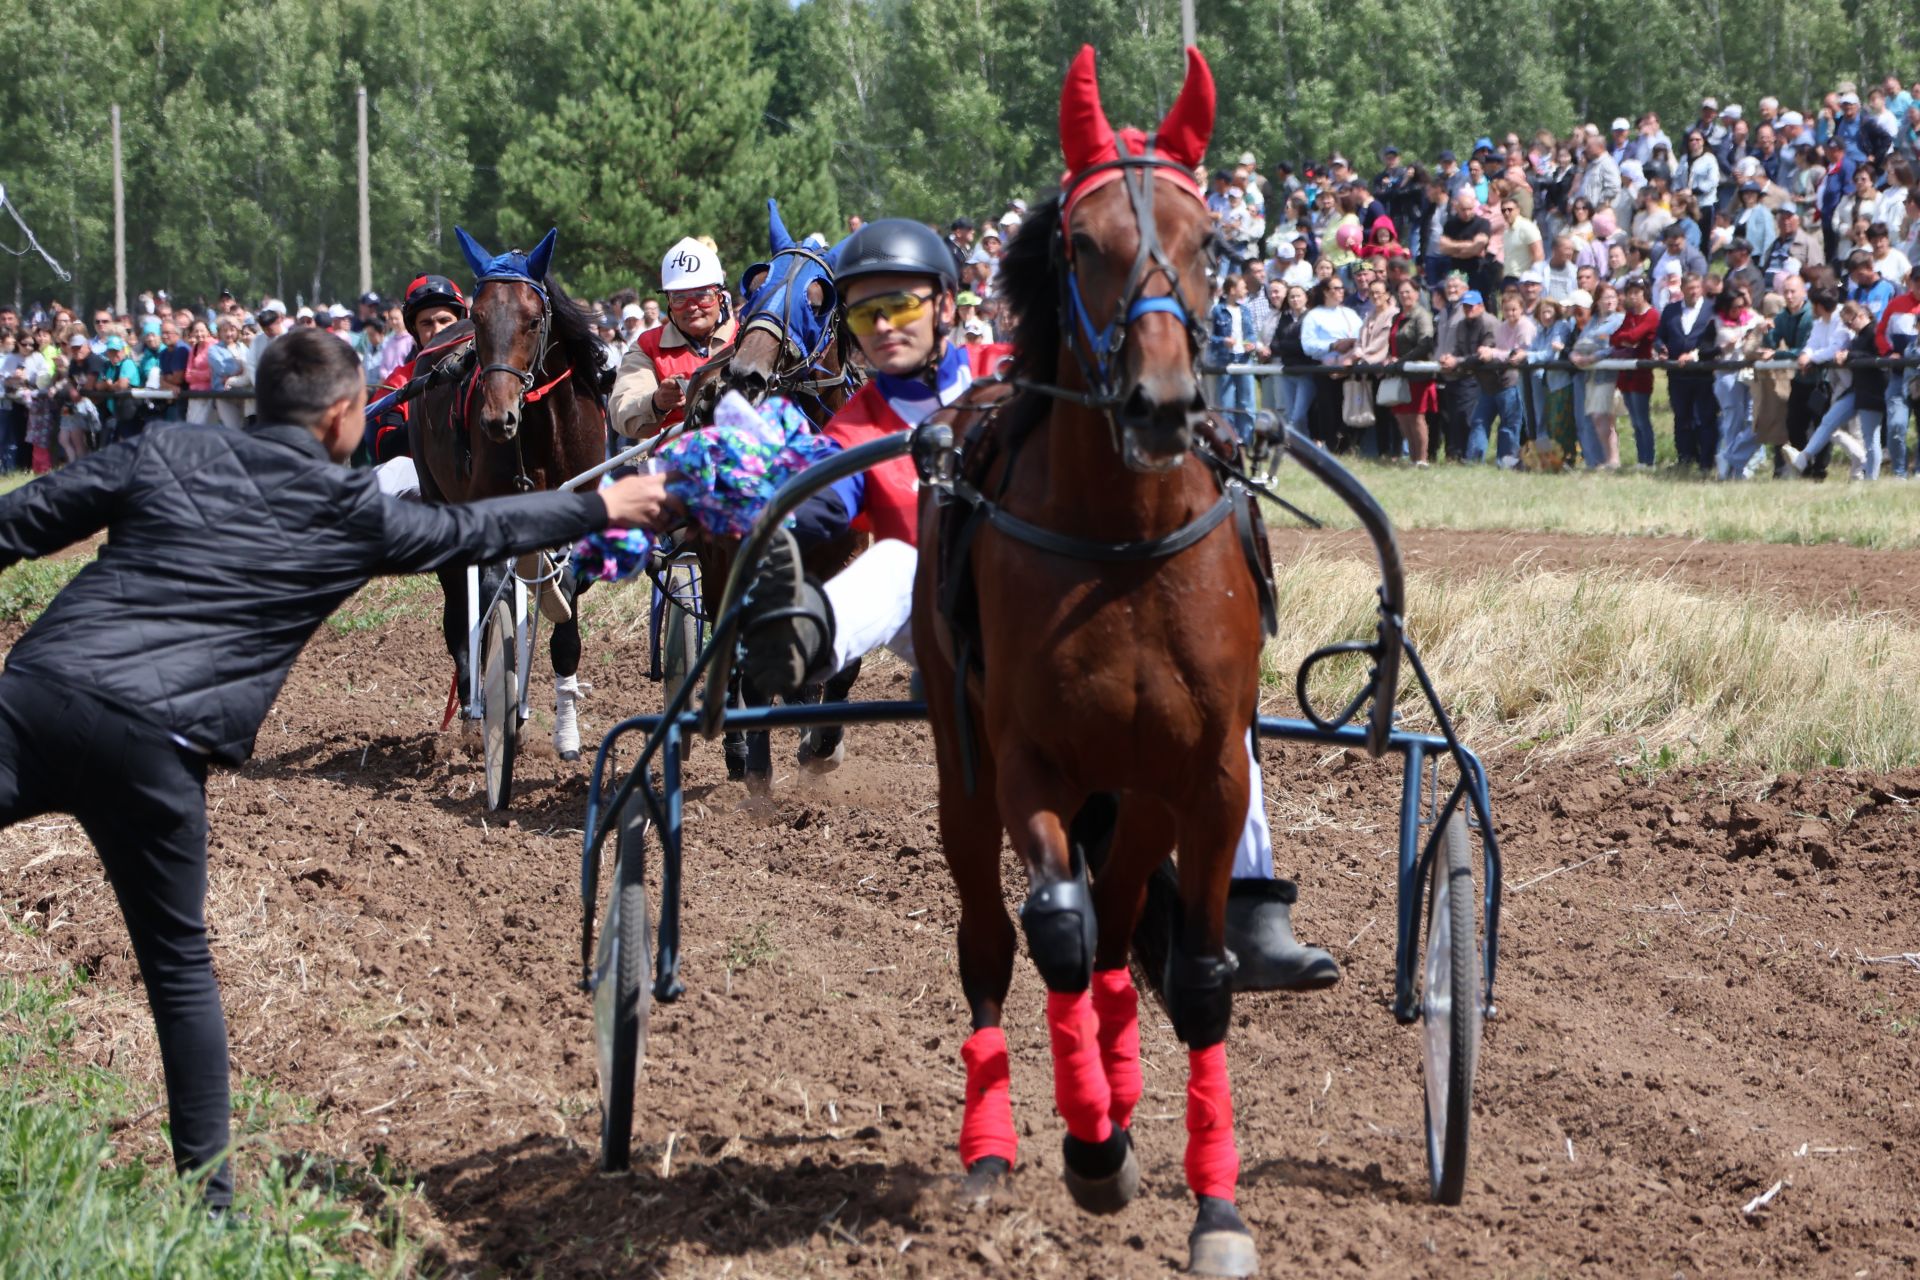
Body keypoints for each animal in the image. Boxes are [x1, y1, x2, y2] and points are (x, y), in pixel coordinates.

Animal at [410, 227, 606, 759]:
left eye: (533, 320)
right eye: (478, 318)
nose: (499, 419)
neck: (541, 431)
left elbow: (565, 618)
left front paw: (566, 733)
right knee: (460, 611)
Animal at [917, 45, 1267, 1274]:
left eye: (1211, 239)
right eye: (1082, 242)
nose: (1161, 403)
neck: (1122, 547)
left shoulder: (1208, 774)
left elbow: (1197, 978)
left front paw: (1215, 1207)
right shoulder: (1030, 763)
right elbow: (1054, 933)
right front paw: (1092, 1149)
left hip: (1149, 794)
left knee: (1119, 932)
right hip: (961, 765)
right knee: (999, 940)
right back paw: (995, 1147)